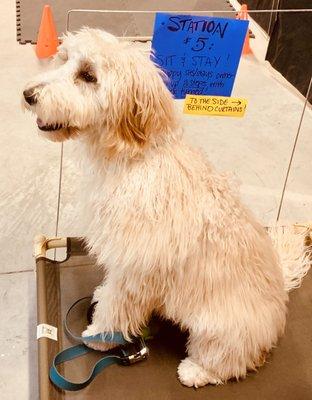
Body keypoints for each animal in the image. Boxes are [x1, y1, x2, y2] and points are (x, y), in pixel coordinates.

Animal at [23, 28, 310, 388]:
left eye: (88, 76)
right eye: (63, 59)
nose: (27, 94)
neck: (136, 157)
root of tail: (281, 289)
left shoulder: (136, 268)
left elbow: (117, 307)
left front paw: (100, 336)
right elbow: (112, 293)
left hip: (221, 328)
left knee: (233, 360)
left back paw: (198, 370)